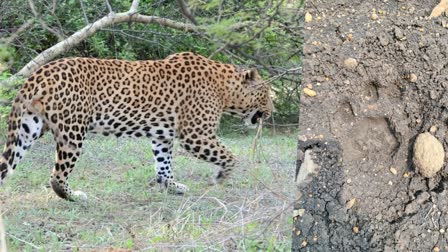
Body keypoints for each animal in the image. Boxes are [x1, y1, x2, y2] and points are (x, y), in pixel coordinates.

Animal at [0, 52, 272, 201]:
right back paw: (74, 196)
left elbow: (164, 164)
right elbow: (230, 156)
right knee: (57, 176)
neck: (225, 89)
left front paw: (171, 186)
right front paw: (220, 177)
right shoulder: (196, 134)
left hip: (28, 128)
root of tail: (38, 73)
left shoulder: (162, 135)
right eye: (266, 94)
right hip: (73, 131)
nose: (272, 111)